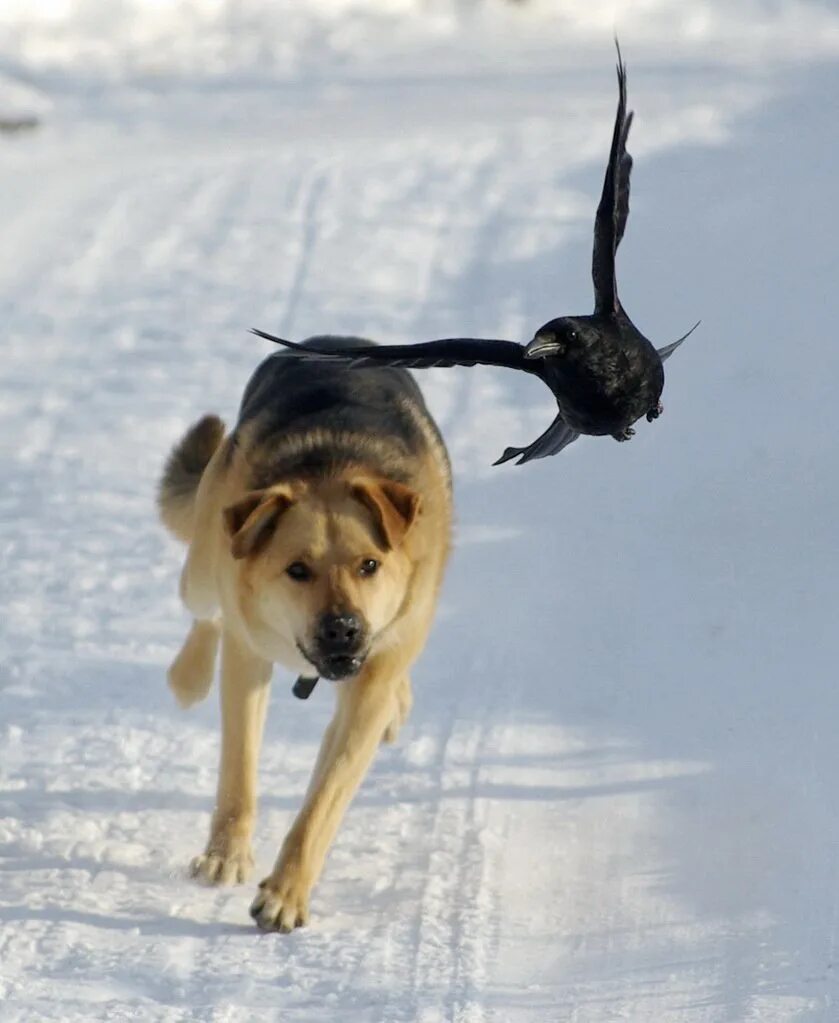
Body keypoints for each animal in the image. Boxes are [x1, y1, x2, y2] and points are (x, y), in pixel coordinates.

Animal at [154, 339, 448, 932]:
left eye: (369, 564)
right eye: (296, 570)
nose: (343, 628)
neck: (335, 464)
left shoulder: (369, 681)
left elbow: (324, 801)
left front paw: (286, 893)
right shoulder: (248, 654)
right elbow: (239, 772)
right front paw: (225, 856)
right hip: (207, 561)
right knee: (205, 609)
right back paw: (187, 676)